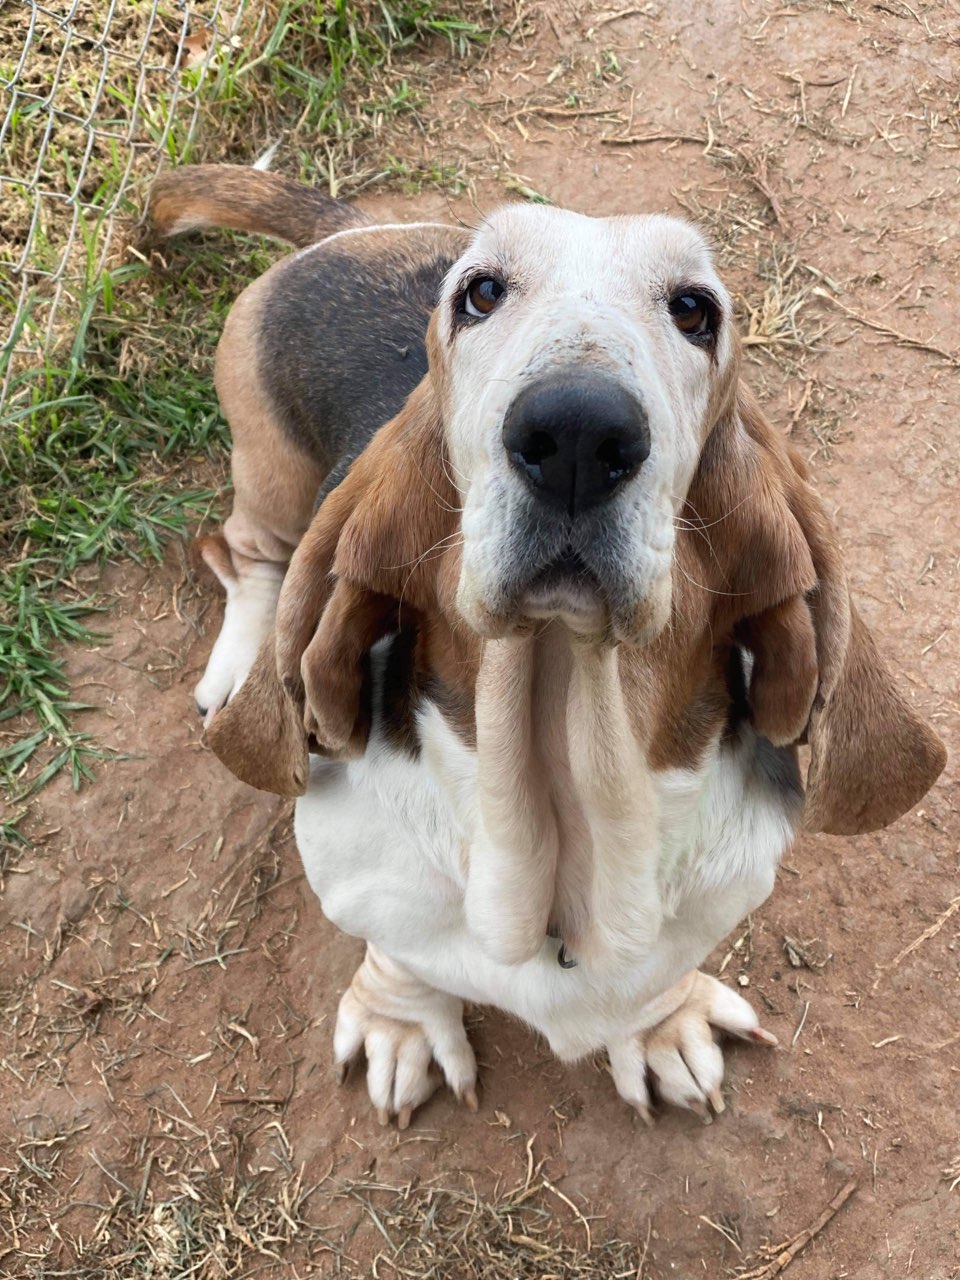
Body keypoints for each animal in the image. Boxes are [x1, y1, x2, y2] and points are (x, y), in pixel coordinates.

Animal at [148, 162, 947, 1131]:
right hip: (269, 474)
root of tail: (353, 231)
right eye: (480, 293)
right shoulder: (369, 882)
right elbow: (399, 954)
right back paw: (238, 664)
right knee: (240, 552)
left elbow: (656, 977)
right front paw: (402, 1023)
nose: (575, 433)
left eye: (695, 310)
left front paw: (660, 1026)